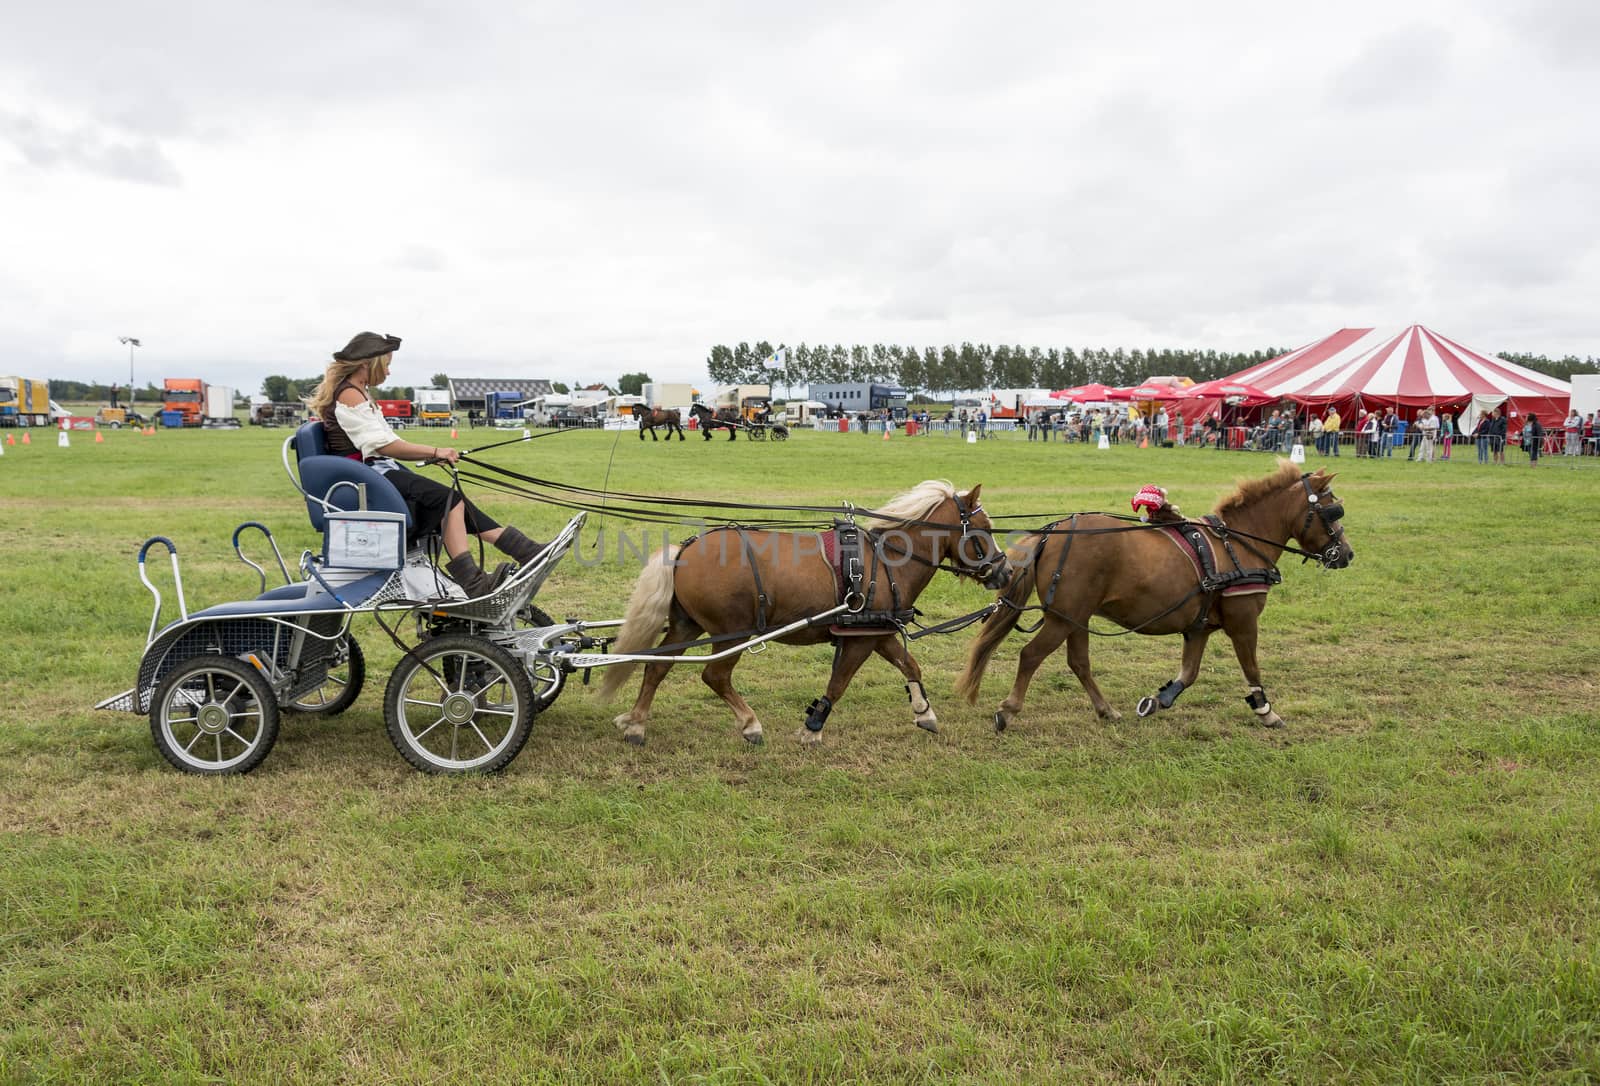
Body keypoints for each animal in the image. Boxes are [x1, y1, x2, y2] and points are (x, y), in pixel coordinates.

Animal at [953, 463, 1356, 735]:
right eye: (1333, 510)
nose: (1346, 554)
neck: (1239, 543)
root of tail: (1053, 531)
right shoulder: (1243, 622)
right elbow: (1252, 668)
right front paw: (1265, 709)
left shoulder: (1199, 628)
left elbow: (1189, 673)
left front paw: (1158, 700)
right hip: (1063, 618)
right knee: (1031, 655)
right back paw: (1009, 709)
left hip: (1075, 617)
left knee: (1078, 662)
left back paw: (1105, 710)